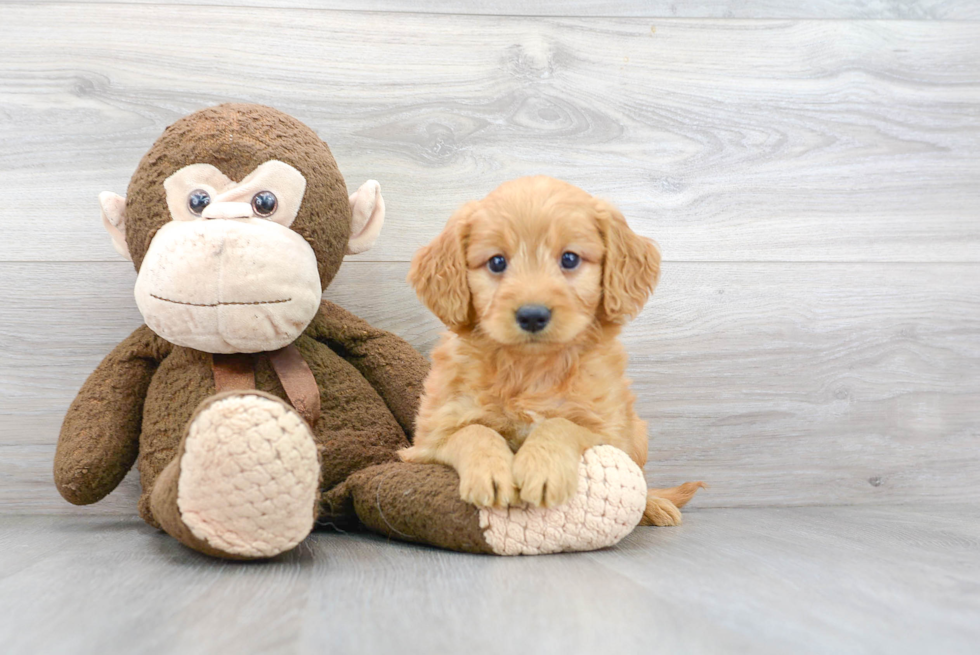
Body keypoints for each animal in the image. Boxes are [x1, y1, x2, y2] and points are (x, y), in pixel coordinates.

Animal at [402, 177, 700, 524]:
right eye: (496, 262)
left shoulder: (610, 433)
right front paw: (490, 472)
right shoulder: (428, 439)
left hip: (638, 433)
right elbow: (473, 431)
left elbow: (561, 424)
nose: (532, 315)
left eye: (569, 259)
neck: (531, 368)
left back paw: (655, 505)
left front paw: (541, 468)